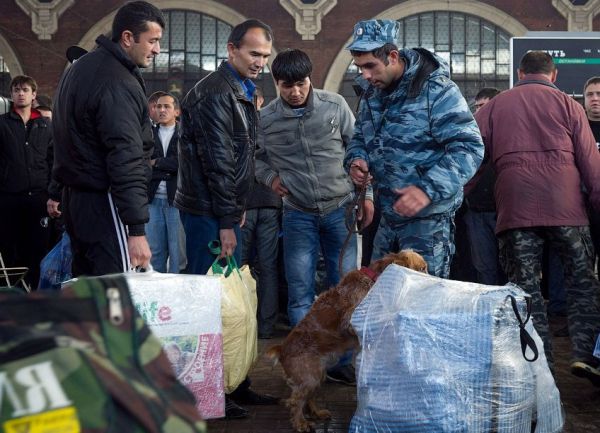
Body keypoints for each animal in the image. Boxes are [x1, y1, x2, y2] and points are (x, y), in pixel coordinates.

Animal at [266, 248, 426, 430]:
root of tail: (281, 349)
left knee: (308, 398)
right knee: (295, 401)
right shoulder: (351, 319)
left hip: (317, 375)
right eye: (422, 269)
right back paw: (300, 423)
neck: (374, 280)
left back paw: (318, 413)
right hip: (309, 376)